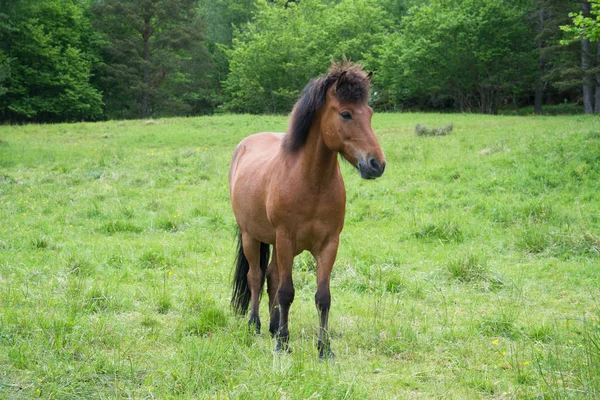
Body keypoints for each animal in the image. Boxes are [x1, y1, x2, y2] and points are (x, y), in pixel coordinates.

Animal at [227, 62, 386, 360]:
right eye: (346, 113)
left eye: (370, 113)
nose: (376, 164)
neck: (312, 183)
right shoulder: (286, 239)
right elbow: (287, 291)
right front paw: (283, 344)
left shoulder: (329, 244)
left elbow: (322, 297)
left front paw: (324, 348)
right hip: (251, 236)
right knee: (255, 277)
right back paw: (255, 324)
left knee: (271, 277)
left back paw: (273, 325)